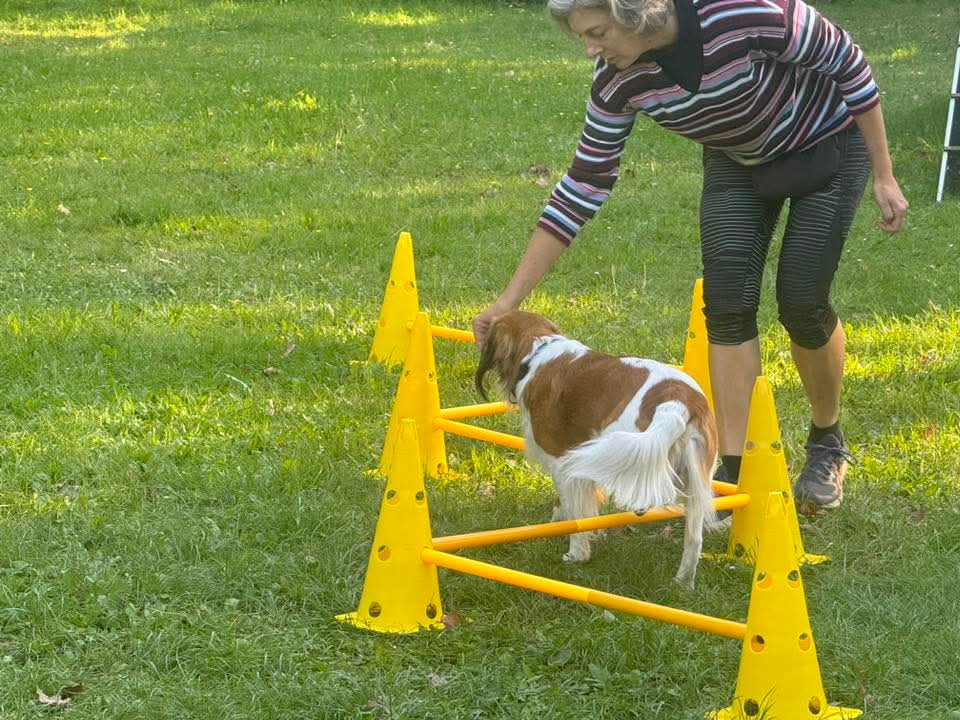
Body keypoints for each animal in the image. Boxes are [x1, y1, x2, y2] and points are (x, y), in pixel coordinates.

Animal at [475, 310, 719, 589]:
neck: (538, 351)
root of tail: (676, 403)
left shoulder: (562, 462)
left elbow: (575, 510)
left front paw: (575, 550)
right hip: (694, 481)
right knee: (694, 539)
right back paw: (683, 583)